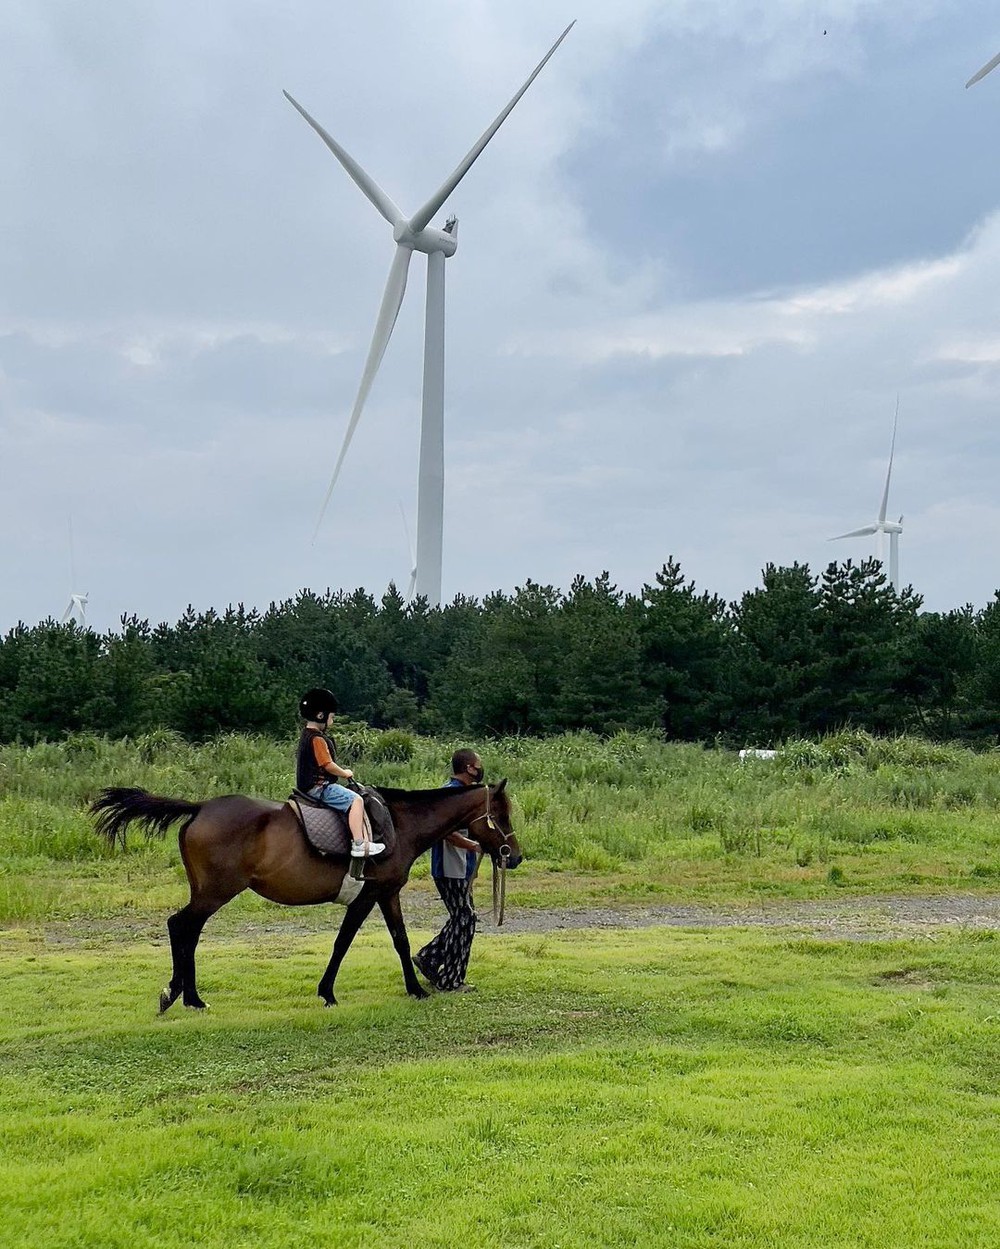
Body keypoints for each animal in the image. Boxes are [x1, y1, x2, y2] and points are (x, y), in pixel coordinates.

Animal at [91, 784, 521, 1009]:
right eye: (501, 816)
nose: (513, 856)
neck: (400, 824)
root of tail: (200, 808)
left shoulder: (386, 895)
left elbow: (399, 941)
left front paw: (414, 986)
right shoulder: (370, 895)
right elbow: (346, 942)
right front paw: (330, 991)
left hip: (207, 894)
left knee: (188, 931)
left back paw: (188, 995)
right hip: (215, 893)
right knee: (181, 926)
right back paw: (181, 994)